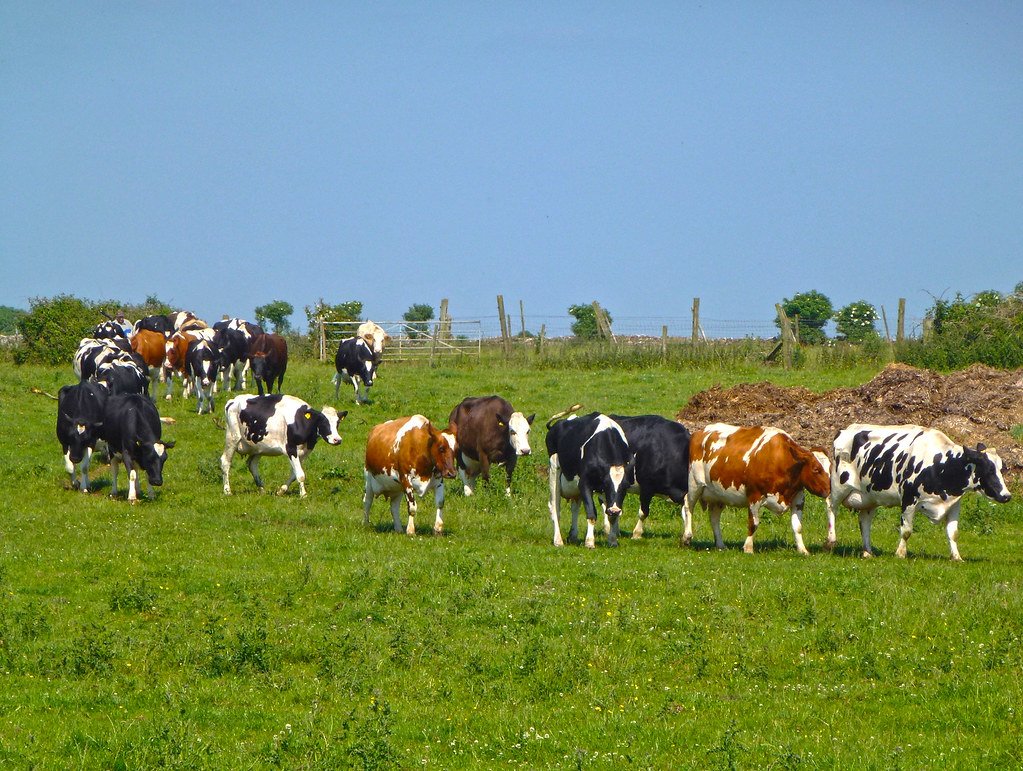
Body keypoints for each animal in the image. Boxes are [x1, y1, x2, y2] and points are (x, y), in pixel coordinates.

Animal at [546, 411, 635, 548]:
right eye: (606, 484)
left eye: (625, 486)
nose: (615, 510)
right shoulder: (584, 483)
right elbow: (591, 513)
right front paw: (589, 542)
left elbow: (611, 517)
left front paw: (612, 541)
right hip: (554, 468)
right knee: (555, 507)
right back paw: (558, 540)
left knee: (575, 506)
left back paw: (573, 536)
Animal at [685, 423, 831, 555]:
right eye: (816, 469)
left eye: (831, 468)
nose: (830, 491)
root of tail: (700, 431)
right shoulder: (754, 496)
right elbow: (753, 523)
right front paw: (748, 548)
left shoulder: (798, 497)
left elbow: (798, 526)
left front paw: (802, 550)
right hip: (694, 484)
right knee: (688, 506)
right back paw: (686, 537)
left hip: (719, 494)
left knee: (714, 517)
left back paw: (720, 545)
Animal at [828, 424, 1012, 560]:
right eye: (988, 470)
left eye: (1002, 469)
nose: (1007, 496)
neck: (942, 465)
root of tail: (846, 429)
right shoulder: (909, 498)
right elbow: (907, 530)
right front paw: (900, 554)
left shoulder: (954, 503)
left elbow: (953, 533)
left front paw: (956, 557)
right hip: (839, 486)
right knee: (831, 507)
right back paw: (831, 541)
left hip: (869, 496)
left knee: (864, 520)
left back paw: (867, 552)